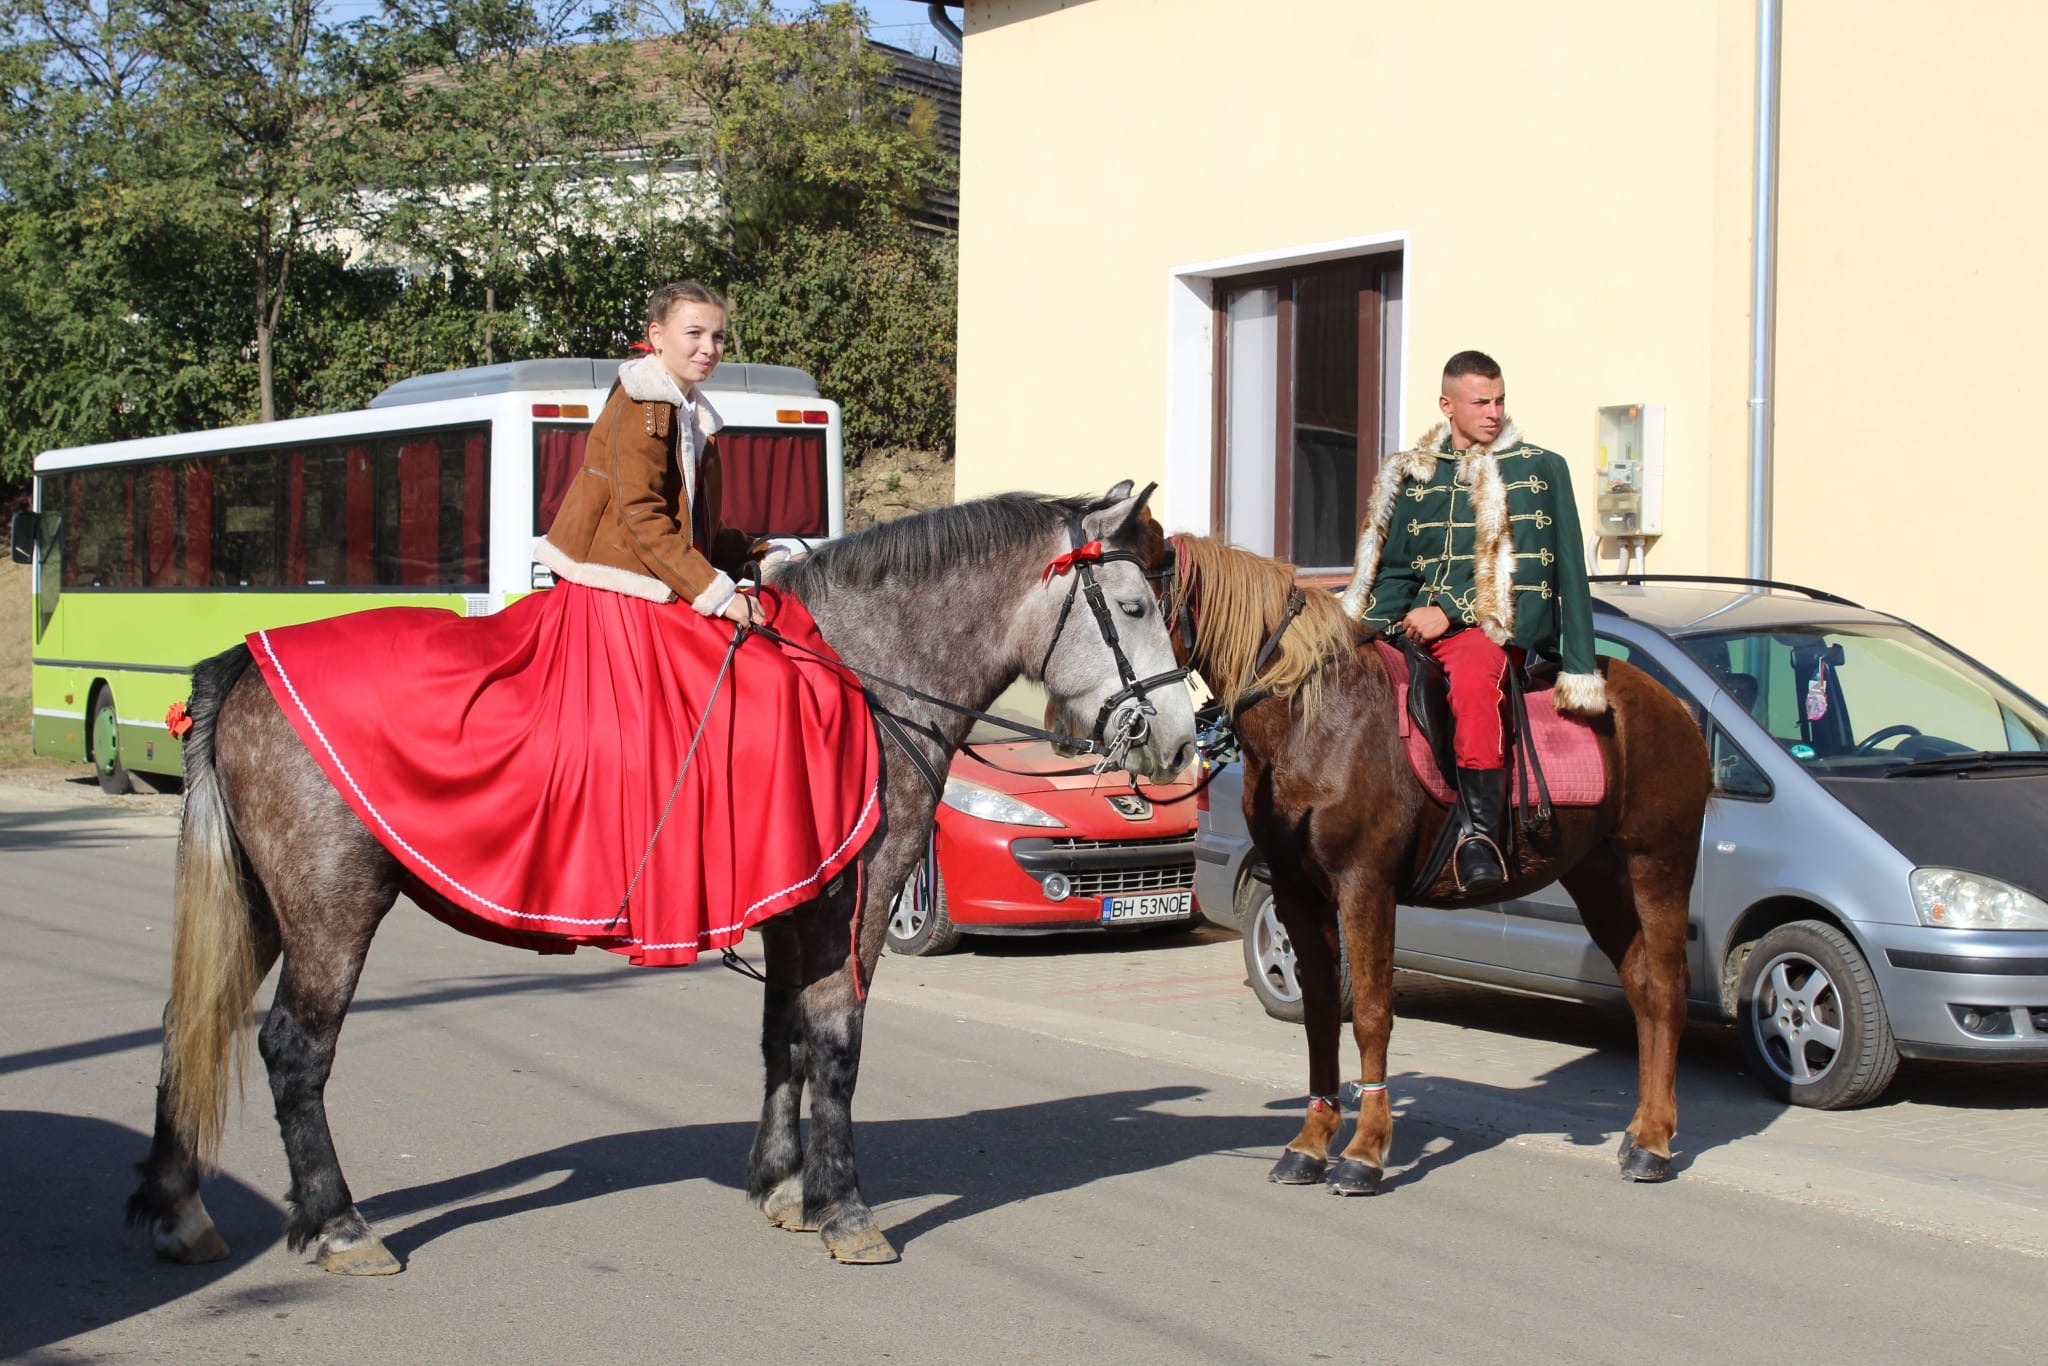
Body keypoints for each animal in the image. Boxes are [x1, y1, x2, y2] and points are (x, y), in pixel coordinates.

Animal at [128, 481, 1196, 1269]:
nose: (1182, 743)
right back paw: (338, 1224)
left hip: (263, 901)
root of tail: (242, 662)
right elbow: (835, 1045)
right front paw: (845, 1208)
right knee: (293, 1051)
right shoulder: (853, 903)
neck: (858, 674)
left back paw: (182, 1209)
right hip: (332, 904)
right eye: (1134, 607)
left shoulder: (790, 900)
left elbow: (782, 1040)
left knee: (192, 1021)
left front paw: (781, 1184)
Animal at [1171, 532, 1712, 1196]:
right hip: (1598, 879)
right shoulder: (1298, 890)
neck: (1312, 715)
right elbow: (1320, 1012)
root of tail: (1677, 707)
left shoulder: (1365, 888)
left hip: (1658, 865)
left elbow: (1371, 1014)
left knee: (1665, 990)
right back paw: (1638, 1131)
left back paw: (1655, 1143)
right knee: (1640, 989)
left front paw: (1365, 1152)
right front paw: (1309, 1145)